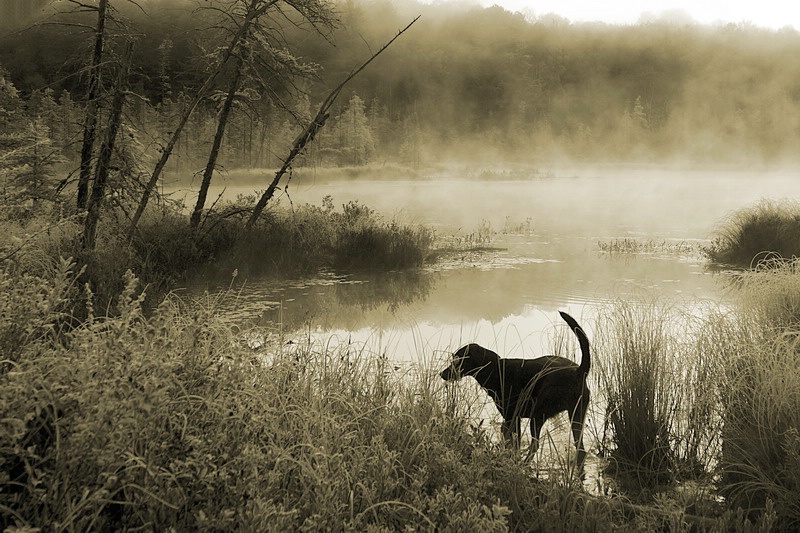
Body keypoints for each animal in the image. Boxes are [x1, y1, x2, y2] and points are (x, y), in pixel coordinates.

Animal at [440, 310, 592, 464]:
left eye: (457, 360)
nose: (442, 373)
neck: (496, 370)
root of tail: (579, 371)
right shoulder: (512, 419)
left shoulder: (511, 417)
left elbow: (514, 443)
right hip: (576, 414)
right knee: (580, 449)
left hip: (538, 414)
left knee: (535, 444)